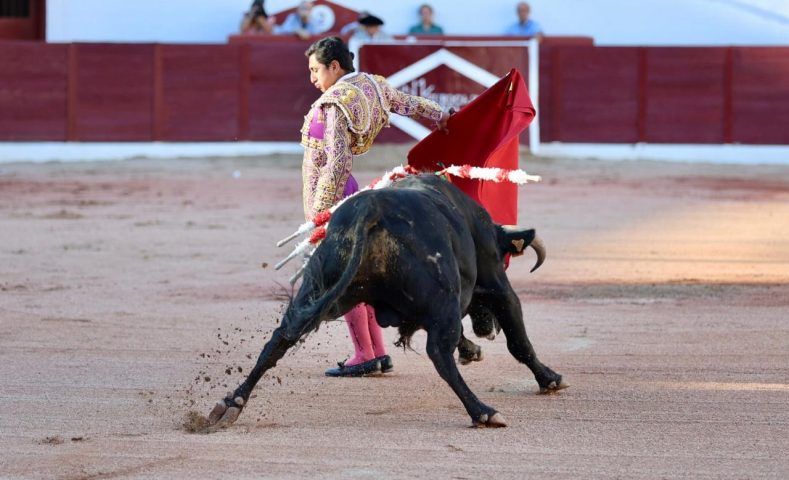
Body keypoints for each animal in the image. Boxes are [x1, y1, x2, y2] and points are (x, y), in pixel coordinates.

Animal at [207, 174, 567, 429]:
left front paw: (471, 349)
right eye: (505, 261)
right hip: (444, 298)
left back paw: (230, 405)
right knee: (439, 353)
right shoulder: (495, 282)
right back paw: (483, 412)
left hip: (321, 287)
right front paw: (550, 379)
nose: (486, 331)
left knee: (280, 339)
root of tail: (371, 209)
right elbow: (518, 339)